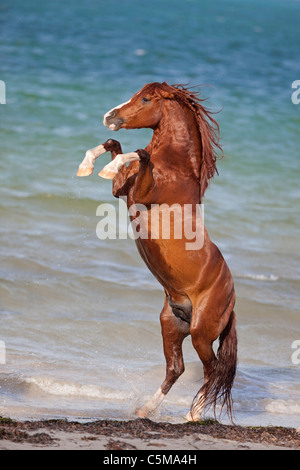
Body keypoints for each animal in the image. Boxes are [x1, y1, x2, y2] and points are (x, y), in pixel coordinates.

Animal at [78, 81, 238, 422]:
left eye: (146, 99)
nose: (109, 116)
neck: (176, 169)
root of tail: (231, 301)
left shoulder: (141, 192)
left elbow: (139, 153)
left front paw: (106, 166)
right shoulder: (121, 191)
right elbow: (116, 144)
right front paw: (89, 166)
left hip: (202, 333)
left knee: (212, 370)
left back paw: (193, 415)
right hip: (172, 324)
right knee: (176, 368)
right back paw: (145, 409)